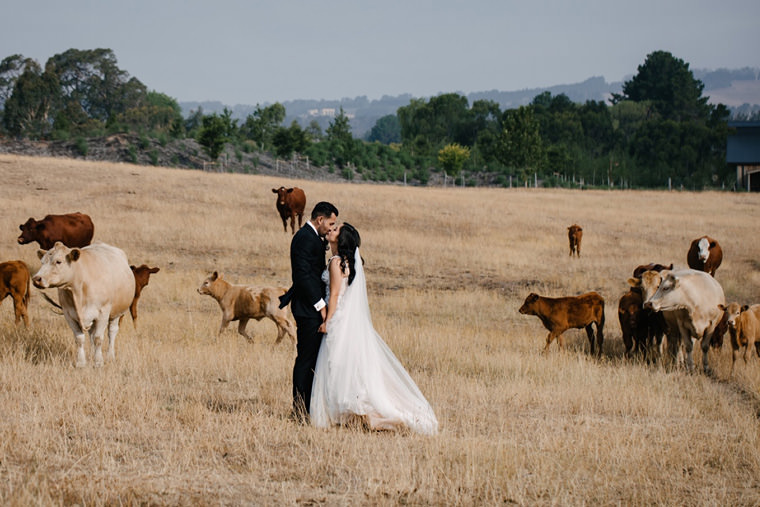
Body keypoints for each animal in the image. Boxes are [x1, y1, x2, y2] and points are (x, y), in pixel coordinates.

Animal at [32, 240, 134, 368]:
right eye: (42, 262)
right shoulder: (69, 315)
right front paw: (81, 362)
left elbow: (98, 338)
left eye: (58, 261)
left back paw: (110, 356)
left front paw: (99, 362)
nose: (36, 279)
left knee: (112, 332)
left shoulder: (103, 313)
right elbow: (80, 339)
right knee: (91, 334)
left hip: (116, 313)